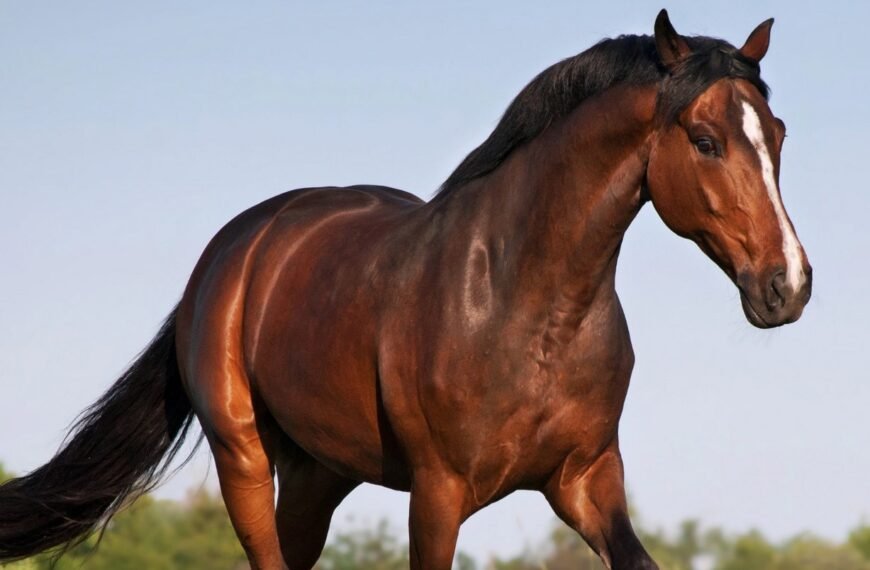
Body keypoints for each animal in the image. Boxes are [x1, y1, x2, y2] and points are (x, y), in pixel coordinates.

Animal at [0, 10, 811, 570]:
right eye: (705, 141)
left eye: (776, 132)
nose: (789, 285)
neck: (525, 307)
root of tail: (231, 253)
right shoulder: (439, 493)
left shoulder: (586, 480)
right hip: (243, 457)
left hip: (318, 475)